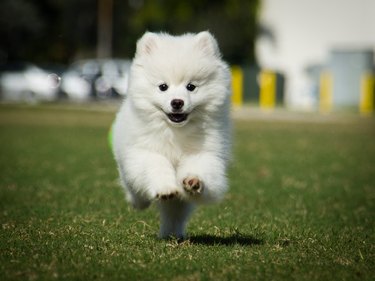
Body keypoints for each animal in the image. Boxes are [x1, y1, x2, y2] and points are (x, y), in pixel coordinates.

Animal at [113, 31, 232, 238]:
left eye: (191, 86)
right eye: (163, 87)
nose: (177, 102)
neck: (175, 131)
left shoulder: (205, 153)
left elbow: (200, 168)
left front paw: (193, 181)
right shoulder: (144, 152)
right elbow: (157, 166)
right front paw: (166, 188)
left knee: (174, 213)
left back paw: (172, 234)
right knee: (134, 189)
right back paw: (140, 203)